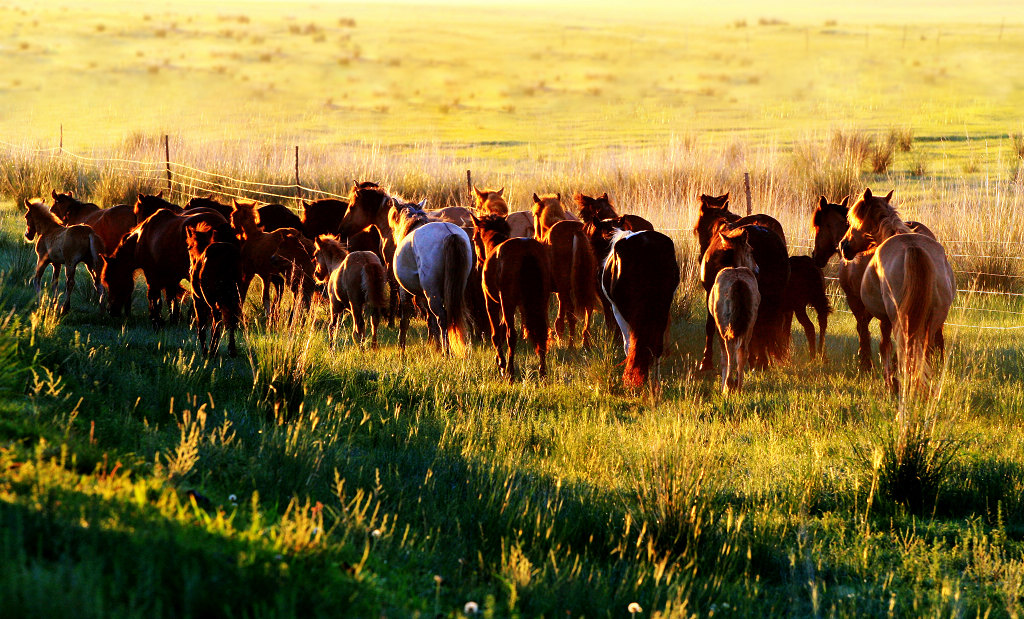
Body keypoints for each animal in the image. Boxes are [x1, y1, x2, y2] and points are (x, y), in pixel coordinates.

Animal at [183, 222, 240, 358]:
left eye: (188, 247)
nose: (189, 269)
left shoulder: (197, 299)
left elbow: (201, 325)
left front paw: (204, 350)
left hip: (211, 297)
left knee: (217, 318)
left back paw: (212, 349)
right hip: (235, 294)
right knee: (232, 318)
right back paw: (231, 349)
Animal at [471, 213, 552, 379]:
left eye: (474, 239)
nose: (477, 264)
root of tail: (526, 249)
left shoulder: (493, 302)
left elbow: (497, 333)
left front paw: (501, 363)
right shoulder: (520, 306)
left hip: (507, 302)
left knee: (511, 335)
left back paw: (510, 371)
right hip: (541, 302)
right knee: (542, 333)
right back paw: (542, 372)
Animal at [835, 188, 954, 393]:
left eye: (852, 222)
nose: (843, 246)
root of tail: (913, 248)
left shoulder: (884, 319)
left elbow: (885, 346)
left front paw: (889, 380)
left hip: (900, 318)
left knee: (903, 347)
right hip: (934, 318)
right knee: (925, 350)